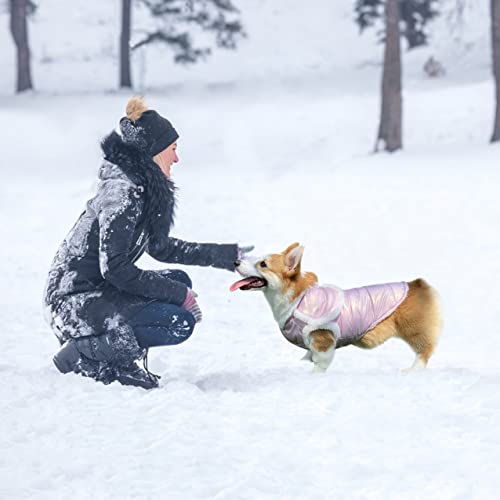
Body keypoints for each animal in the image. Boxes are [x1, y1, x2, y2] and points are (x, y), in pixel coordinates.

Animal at [230, 244, 442, 374]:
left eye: (263, 264)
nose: (235, 262)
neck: (296, 297)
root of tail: (417, 284)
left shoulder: (322, 339)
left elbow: (320, 362)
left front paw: (313, 375)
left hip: (413, 329)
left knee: (425, 350)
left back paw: (412, 370)